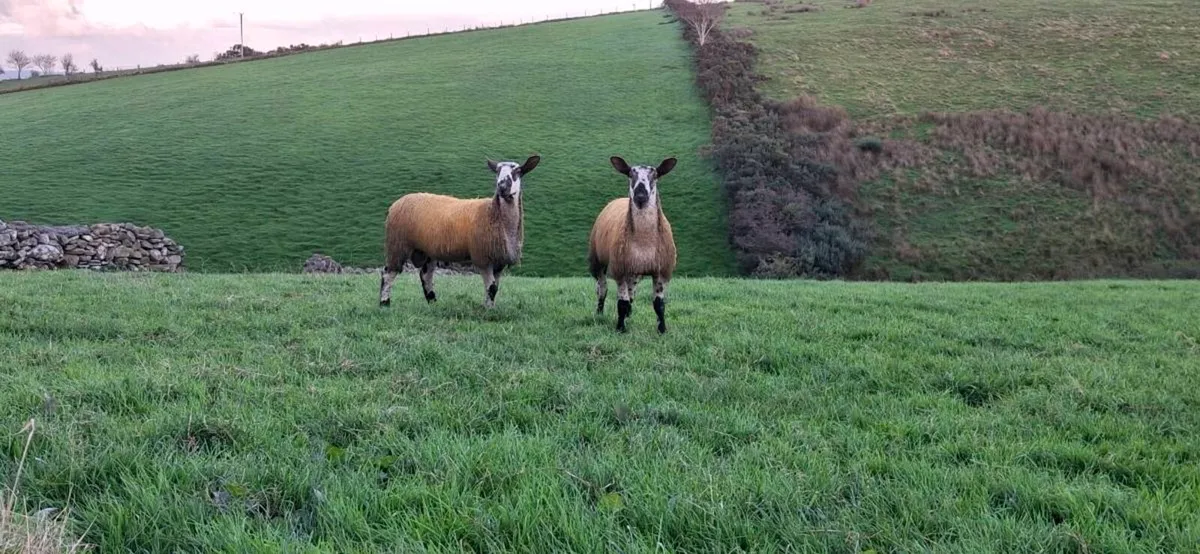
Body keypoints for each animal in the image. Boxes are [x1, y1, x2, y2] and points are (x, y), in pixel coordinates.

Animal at [379, 155, 540, 309]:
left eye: (517, 171)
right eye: (497, 171)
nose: (501, 186)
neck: (494, 214)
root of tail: (397, 203)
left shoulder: (499, 260)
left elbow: (495, 288)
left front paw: (490, 307)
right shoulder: (482, 257)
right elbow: (492, 287)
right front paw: (487, 310)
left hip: (428, 250)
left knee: (425, 276)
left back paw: (433, 303)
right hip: (398, 244)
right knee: (388, 273)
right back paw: (384, 303)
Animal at [587, 156, 678, 333]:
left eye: (655, 175)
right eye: (630, 174)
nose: (640, 196)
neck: (644, 241)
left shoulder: (661, 270)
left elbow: (659, 305)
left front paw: (662, 329)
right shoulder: (620, 268)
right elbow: (621, 303)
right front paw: (620, 328)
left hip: (634, 269)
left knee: (632, 291)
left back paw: (629, 313)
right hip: (597, 259)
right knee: (602, 288)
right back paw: (600, 312)